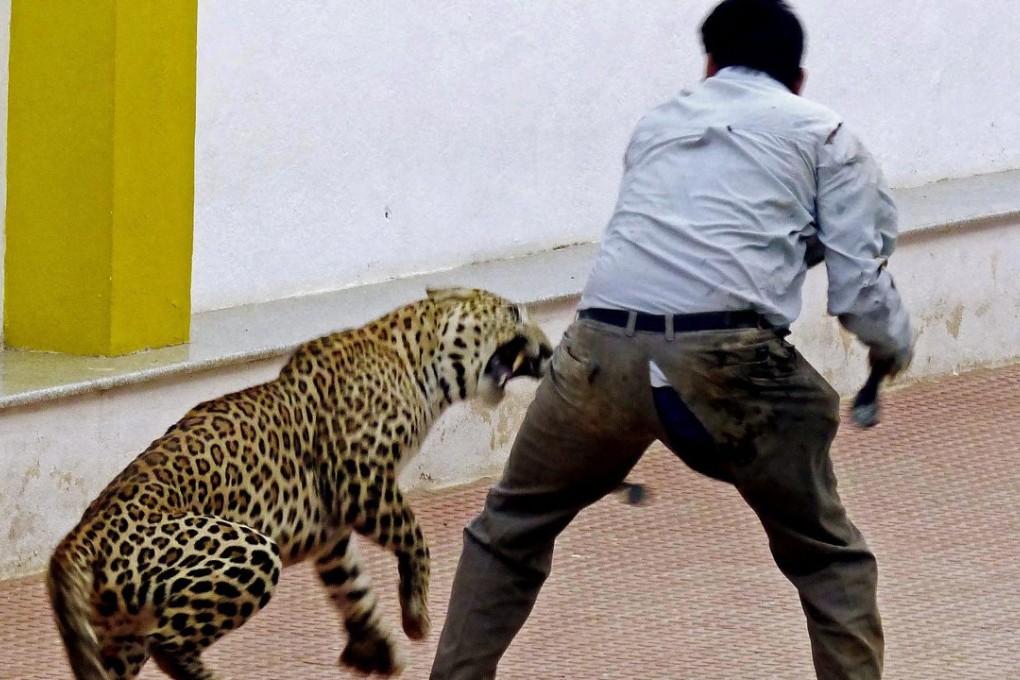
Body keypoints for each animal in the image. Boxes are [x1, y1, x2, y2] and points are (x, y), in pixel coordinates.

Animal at [47, 287, 553, 680]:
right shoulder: (362, 480)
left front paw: (376, 648)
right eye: (514, 314)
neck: (417, 363)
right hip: (247, 552)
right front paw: (416, 617)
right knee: (168, 642)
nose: (549, 351)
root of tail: (75, 541)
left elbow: (352, 585)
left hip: (121, 629)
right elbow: (415, 537)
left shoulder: (331, 530)